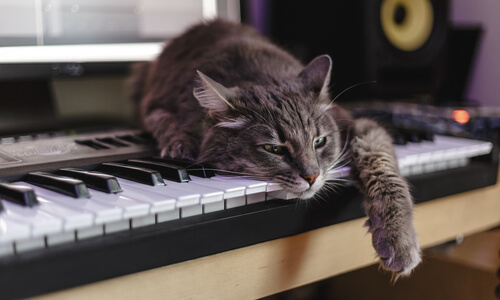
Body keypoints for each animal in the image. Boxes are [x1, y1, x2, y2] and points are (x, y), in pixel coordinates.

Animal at [131, 18, 420, 276]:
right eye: (274, 149)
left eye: (319, 142)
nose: (312, 176)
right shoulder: (155, 106)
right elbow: (166, 125)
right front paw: (180, 145)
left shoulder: (362, 127)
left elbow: (384, 171)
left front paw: (399, 239)